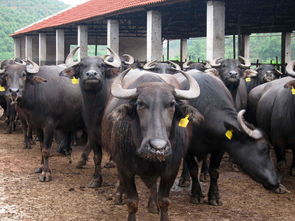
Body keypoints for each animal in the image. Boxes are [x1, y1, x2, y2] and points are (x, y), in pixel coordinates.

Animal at [60, 47, 122, 187]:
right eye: (82, 65)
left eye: (101, 65)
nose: (92, 74)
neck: (97, 109)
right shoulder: (92, 133)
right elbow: (97, 157)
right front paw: (96, 179)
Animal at [102, 69, 204, 221]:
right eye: (140, 103)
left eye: (172, 104)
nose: (158, 147)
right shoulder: (125, 168)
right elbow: (132, 202)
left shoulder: (171, 169)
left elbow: (164, 201)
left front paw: (158, 206)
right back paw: (119, 195)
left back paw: (152, 204)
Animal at [176, 70, 290, 205]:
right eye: (264, 149)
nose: (276, 181)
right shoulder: (188, 149)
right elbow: (193, 168)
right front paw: (196, 194)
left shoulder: (220, 148)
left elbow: (215, 171)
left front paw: (214, 196)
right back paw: (184, 179)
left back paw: (204, 174)